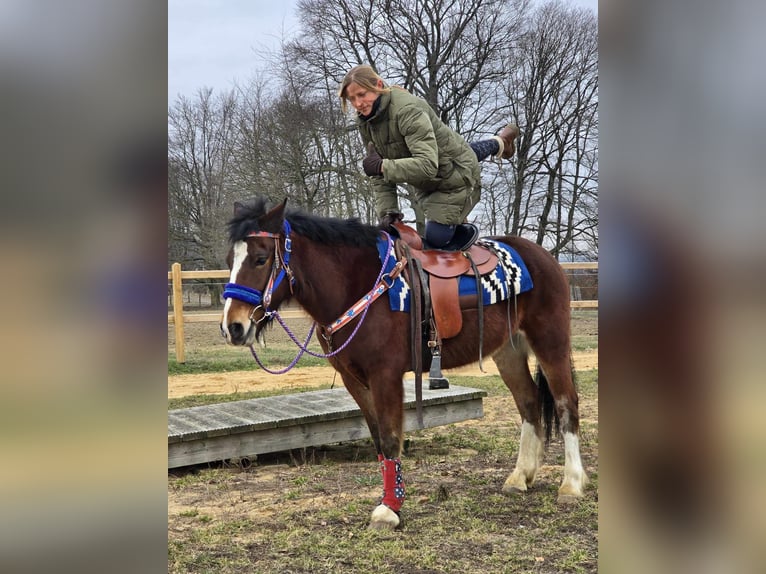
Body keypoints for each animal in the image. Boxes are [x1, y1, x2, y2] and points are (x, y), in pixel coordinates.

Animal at [219, 198, 592, 532]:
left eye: (260, 258)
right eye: (229, 260)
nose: (232, 327)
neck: (358, 284)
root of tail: (544, 256)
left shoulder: (385, 375)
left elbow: (389, 438)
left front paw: (389, 510)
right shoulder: (355, 380)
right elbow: (376, 439)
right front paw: (388, 503)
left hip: (550, 343)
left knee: (565, 403)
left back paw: (571, 484)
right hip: (509, 351)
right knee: (528, 402)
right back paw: (520, 476)